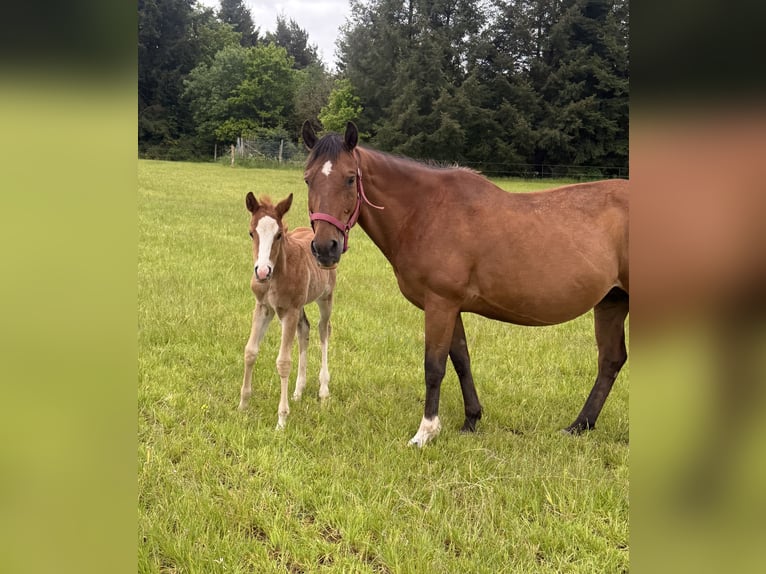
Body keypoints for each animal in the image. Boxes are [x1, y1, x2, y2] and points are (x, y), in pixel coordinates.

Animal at [238, 192, 336, 430]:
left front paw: (281, 420)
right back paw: (298, 391)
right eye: (251, 232)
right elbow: (250, 352)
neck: (276, 274)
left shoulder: (289, 311)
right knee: (305, 330)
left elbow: (283, 362)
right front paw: (243, 405)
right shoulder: (264, 307)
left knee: (323, 330)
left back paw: (323, 390)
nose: (262, 272)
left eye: (279, 235)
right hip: (300, 307)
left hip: (325, 298)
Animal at [302, 121, 629, 447]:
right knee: (610, 361)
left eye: (350, 178)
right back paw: (579, 425)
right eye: (308, 179)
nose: (325, 248)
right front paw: (471, 419)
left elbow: (434, 367)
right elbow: (461, 361)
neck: (425, 211)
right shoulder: (451, 306)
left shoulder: (440, 304)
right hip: (611, 301)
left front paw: (426, 431)